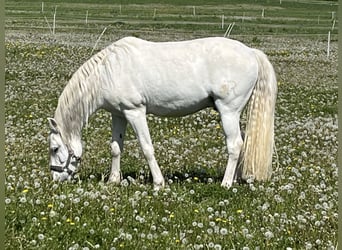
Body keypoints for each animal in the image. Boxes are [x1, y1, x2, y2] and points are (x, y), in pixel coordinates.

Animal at [48, 36, 276, 189]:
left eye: (54, 149)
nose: (56, 180)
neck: (108, 71)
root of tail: (251, 52)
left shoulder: (135, 112)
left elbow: (147, 148)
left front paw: (158, 183)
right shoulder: (119, 114)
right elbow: (115, 148)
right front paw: (113, 181)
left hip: (228, 111)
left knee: (234, 145)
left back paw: (226, 183)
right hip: (235, 114)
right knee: (241, 143)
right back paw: (234, 179)